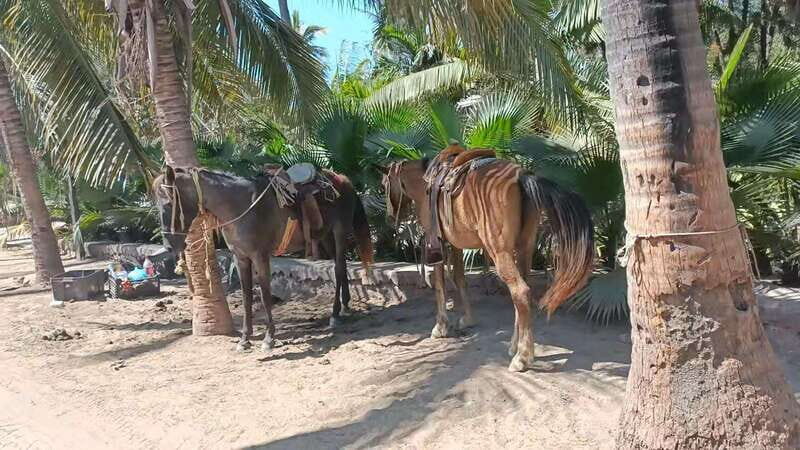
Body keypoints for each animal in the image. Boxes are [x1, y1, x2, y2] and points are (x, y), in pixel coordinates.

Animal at [153, 166, 373, 351]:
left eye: (168, 204)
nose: (168, 245)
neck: (241, 205)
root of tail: (343, 179)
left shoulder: (260, 257)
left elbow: (265, 295)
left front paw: (269, 338)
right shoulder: (241, 258)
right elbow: (246, 297)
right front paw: (244, 339)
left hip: (339, 231)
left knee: (338, 268)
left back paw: (335, 314)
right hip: (325, 236)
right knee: (340, 268)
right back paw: (345, 306)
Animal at [381, 153, 594, 372]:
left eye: (384, 186)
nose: (389, 217)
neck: (425, 182)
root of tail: (521, 176)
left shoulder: (435, 243)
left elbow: (440, 285)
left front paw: (440, 327)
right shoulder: (456, 245)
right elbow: (460, 279)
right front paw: (467, 320)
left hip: (499, 251)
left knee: (520, 291)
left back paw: (522, 357)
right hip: (524, 247)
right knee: (523, 293)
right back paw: (514, 346)